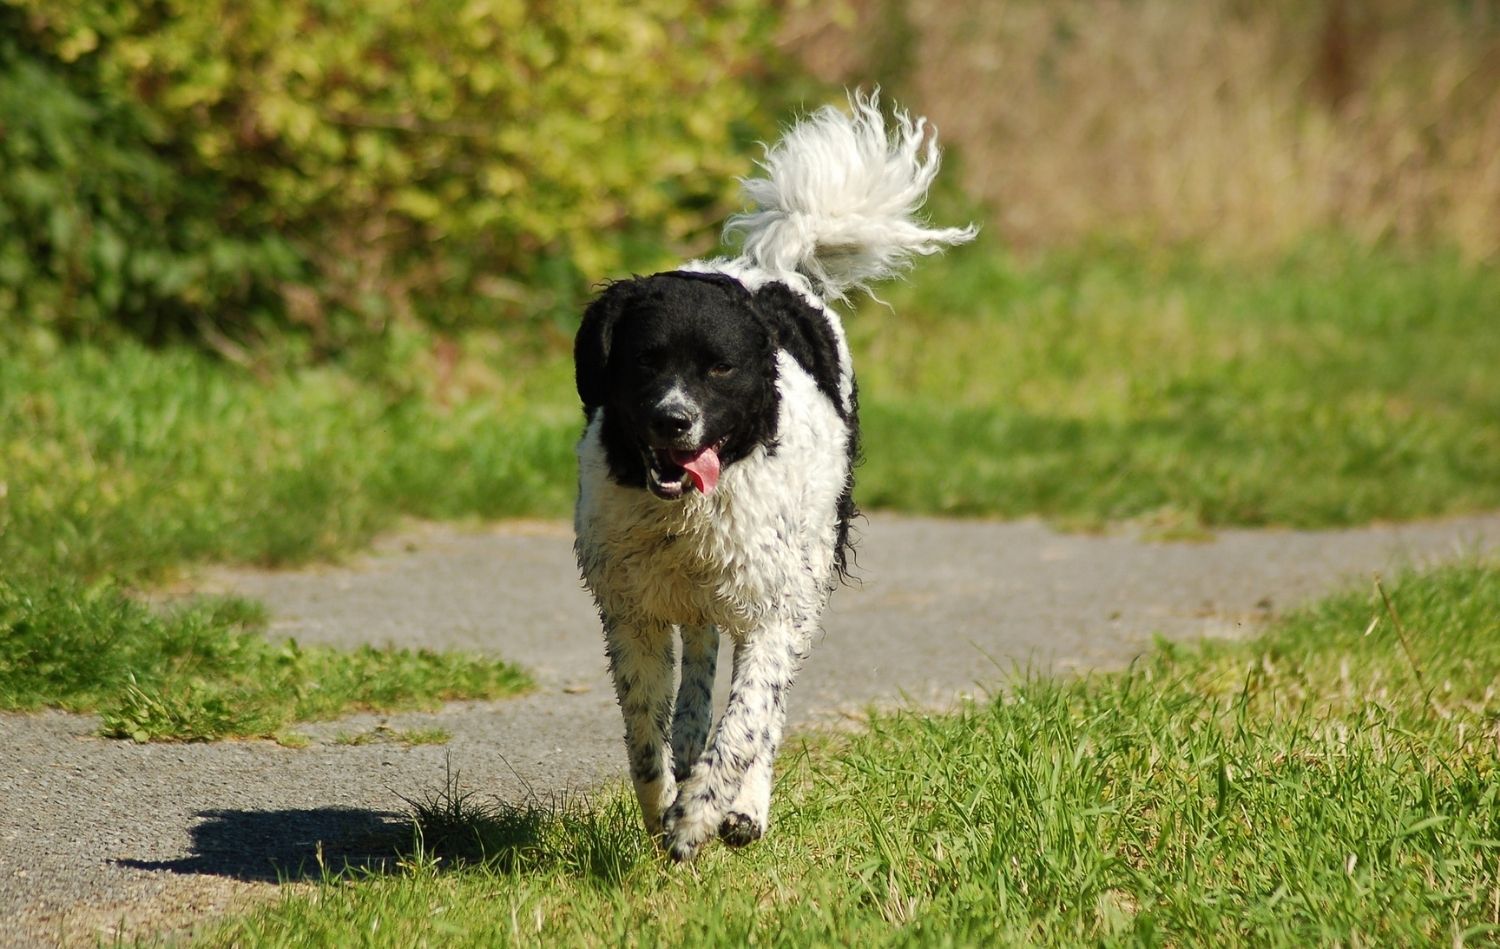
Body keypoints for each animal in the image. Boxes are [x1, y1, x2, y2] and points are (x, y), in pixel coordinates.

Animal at [573, 94, 972, 857]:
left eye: (720, 368)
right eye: (644, 361)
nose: (672, 421)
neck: (688, 514)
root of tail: (773, 268)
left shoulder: (773, 606)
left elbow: (747, 722)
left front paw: (701, 814)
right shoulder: (632, 609)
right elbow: (644, 735)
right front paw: (664, 804)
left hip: (804, 575)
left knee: (763, 709)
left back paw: (742, 808)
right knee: (700, 670)